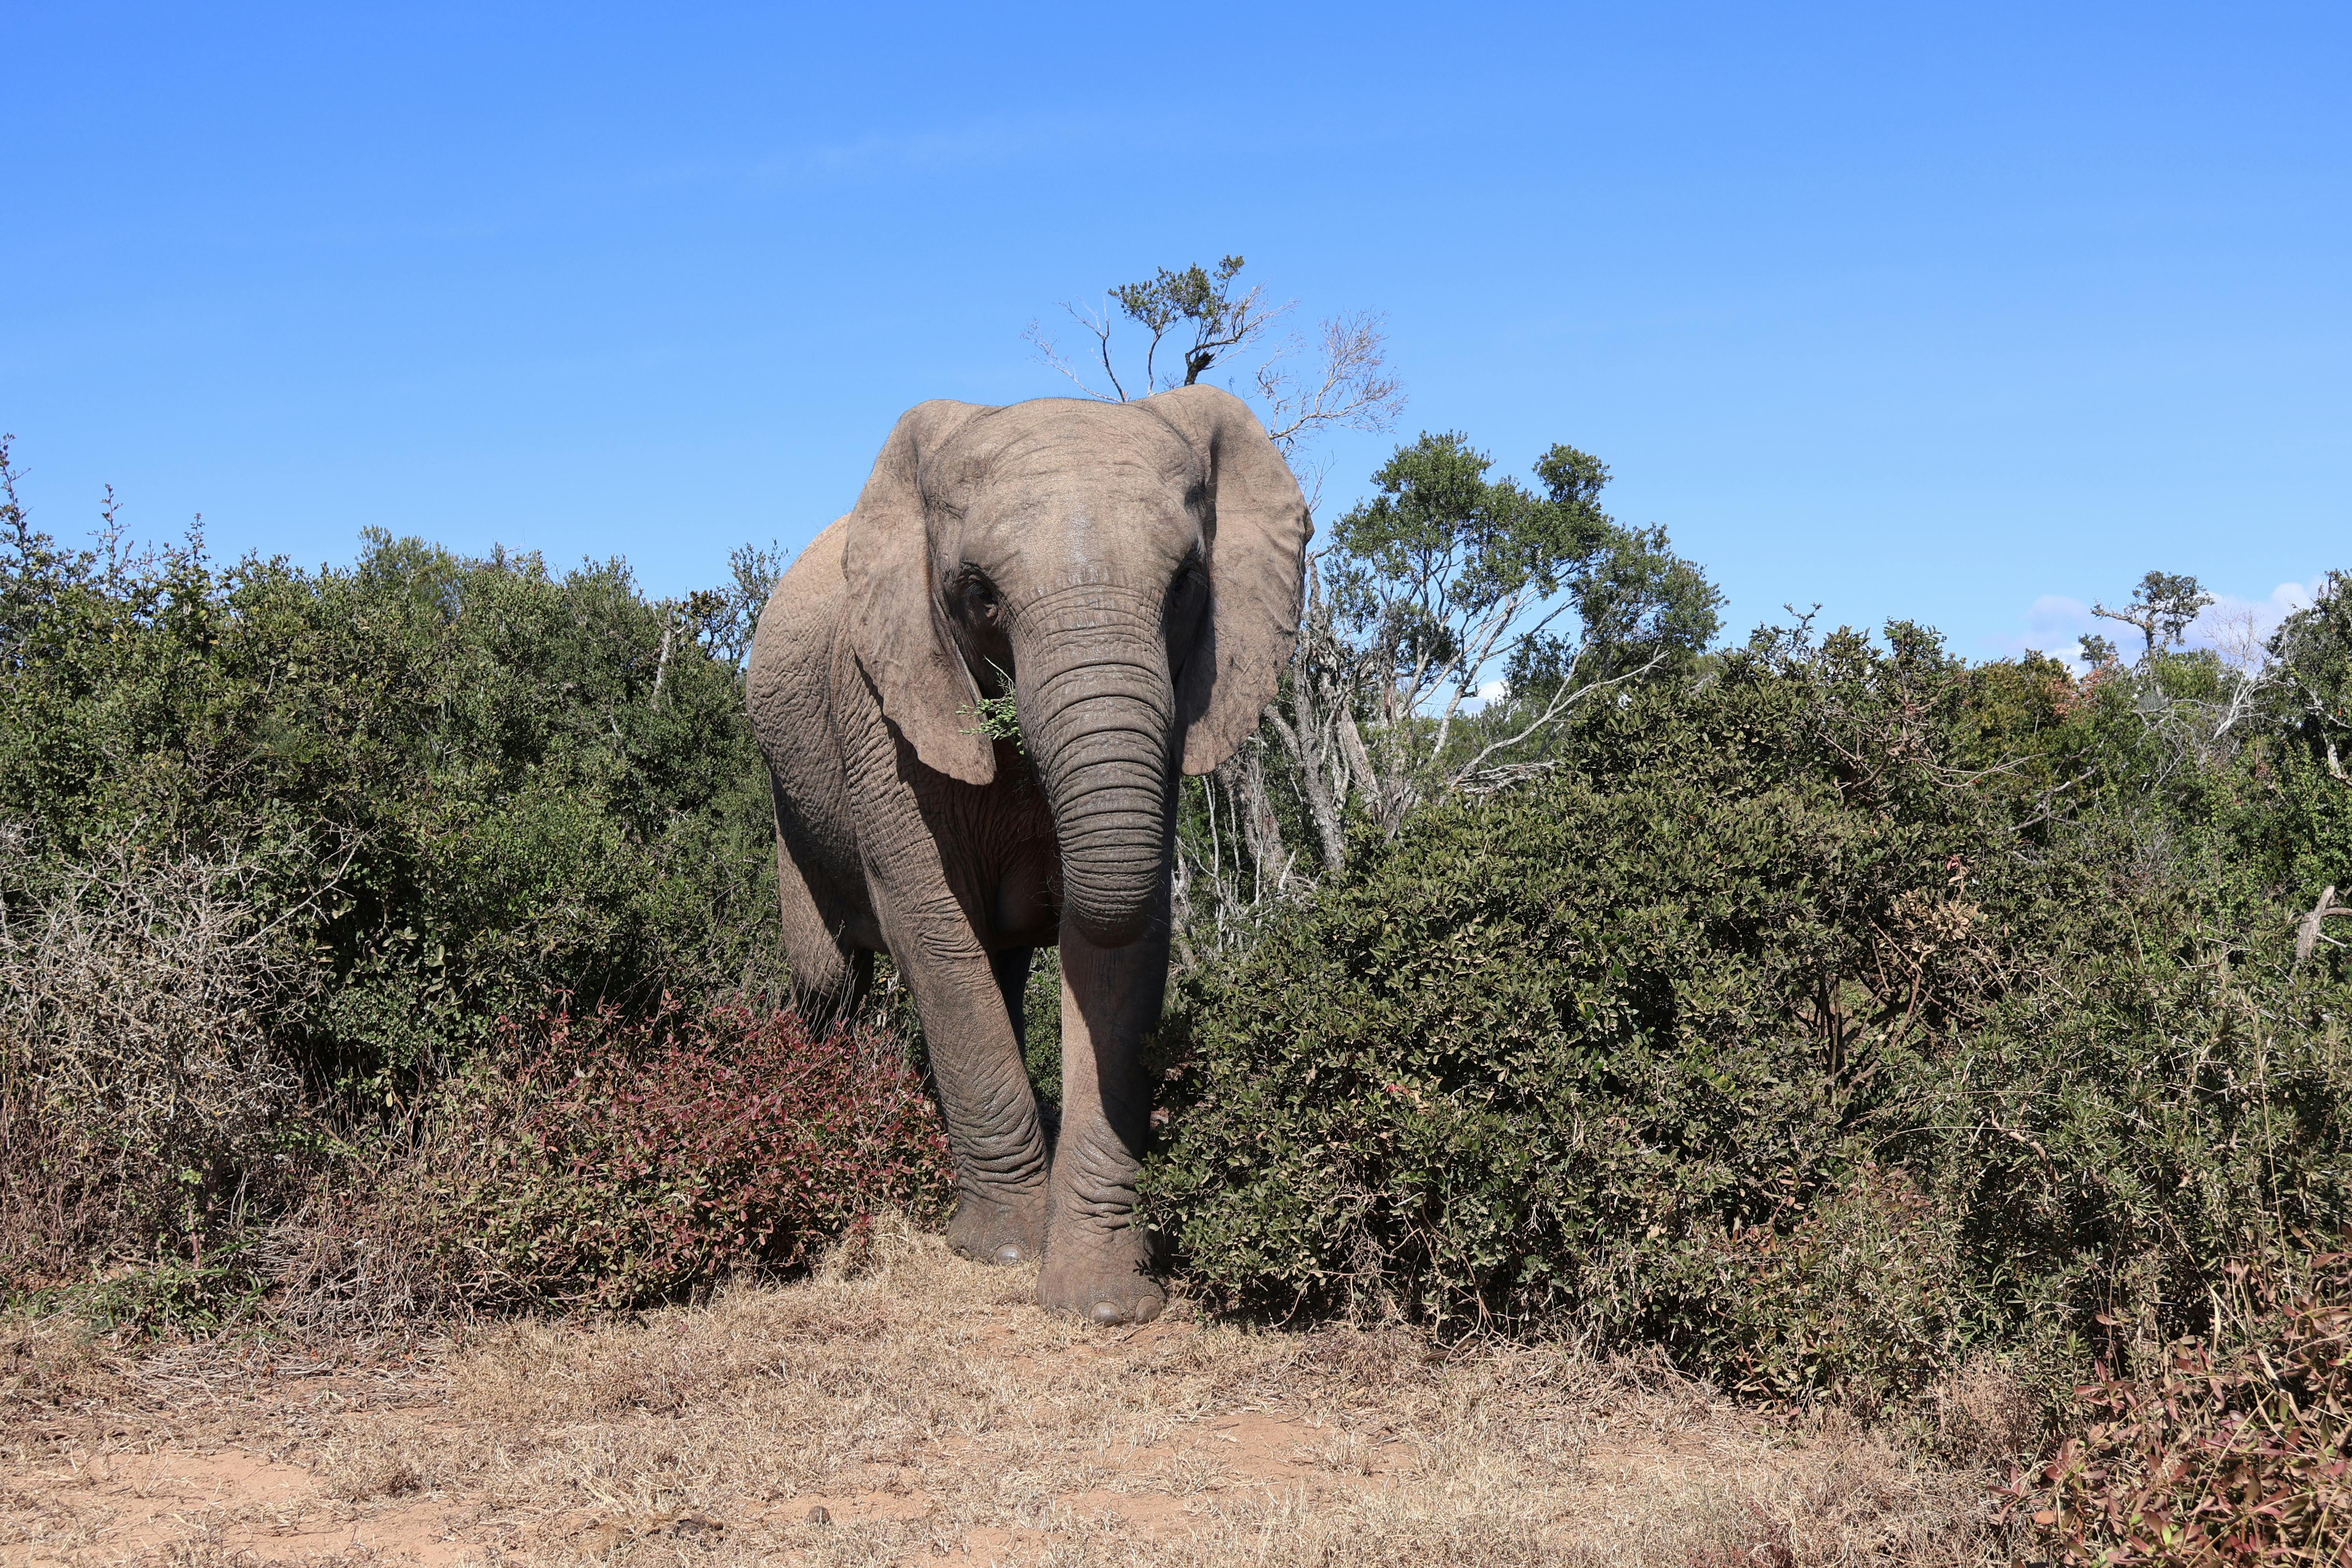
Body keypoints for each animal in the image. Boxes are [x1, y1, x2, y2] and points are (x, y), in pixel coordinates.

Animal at [748, 383, 1317, 1326]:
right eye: (978, 594)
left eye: (1186, 584)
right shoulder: (882, 708)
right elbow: (936, 933)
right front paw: (1000, 1253)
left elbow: (1120, 946)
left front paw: (1104, 1300)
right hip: (790, 804)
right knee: (829, 979)